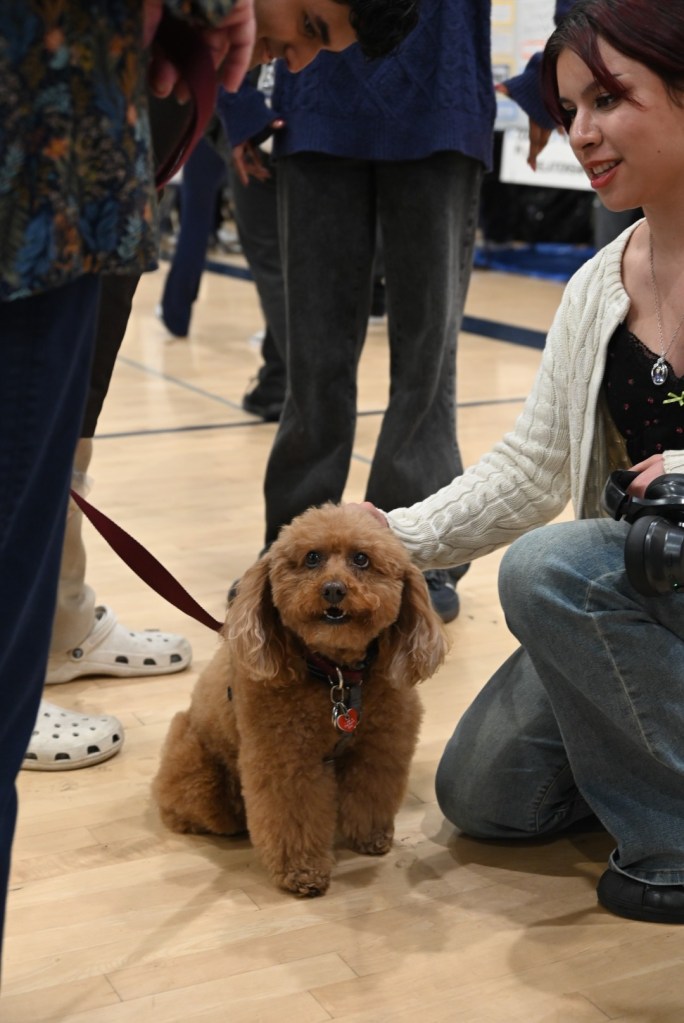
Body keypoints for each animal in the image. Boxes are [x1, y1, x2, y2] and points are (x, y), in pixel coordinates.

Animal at [153, 502, 448, 897]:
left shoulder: (380, 748)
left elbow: (371, 794)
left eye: (361, 559)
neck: (337, 676)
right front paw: (303, 871)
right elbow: (293, 817)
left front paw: (371, 836)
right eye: (312, 558)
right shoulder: (287, 761)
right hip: (198, 773)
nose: (334, 589)